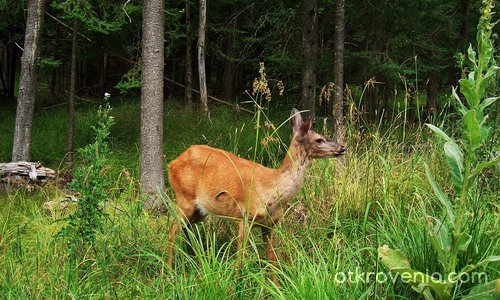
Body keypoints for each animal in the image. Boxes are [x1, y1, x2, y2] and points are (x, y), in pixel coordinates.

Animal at [166, 108, 346, 270]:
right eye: (319, 140)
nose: (342, 148)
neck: (273, 188)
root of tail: (171, 163)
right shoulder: (245, 217)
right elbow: (240, 260)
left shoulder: (270, 225)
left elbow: (272, 260)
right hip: (184, 198)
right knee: (172, 229)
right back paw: (168, 271)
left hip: (200, 210)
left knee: (186, 231)